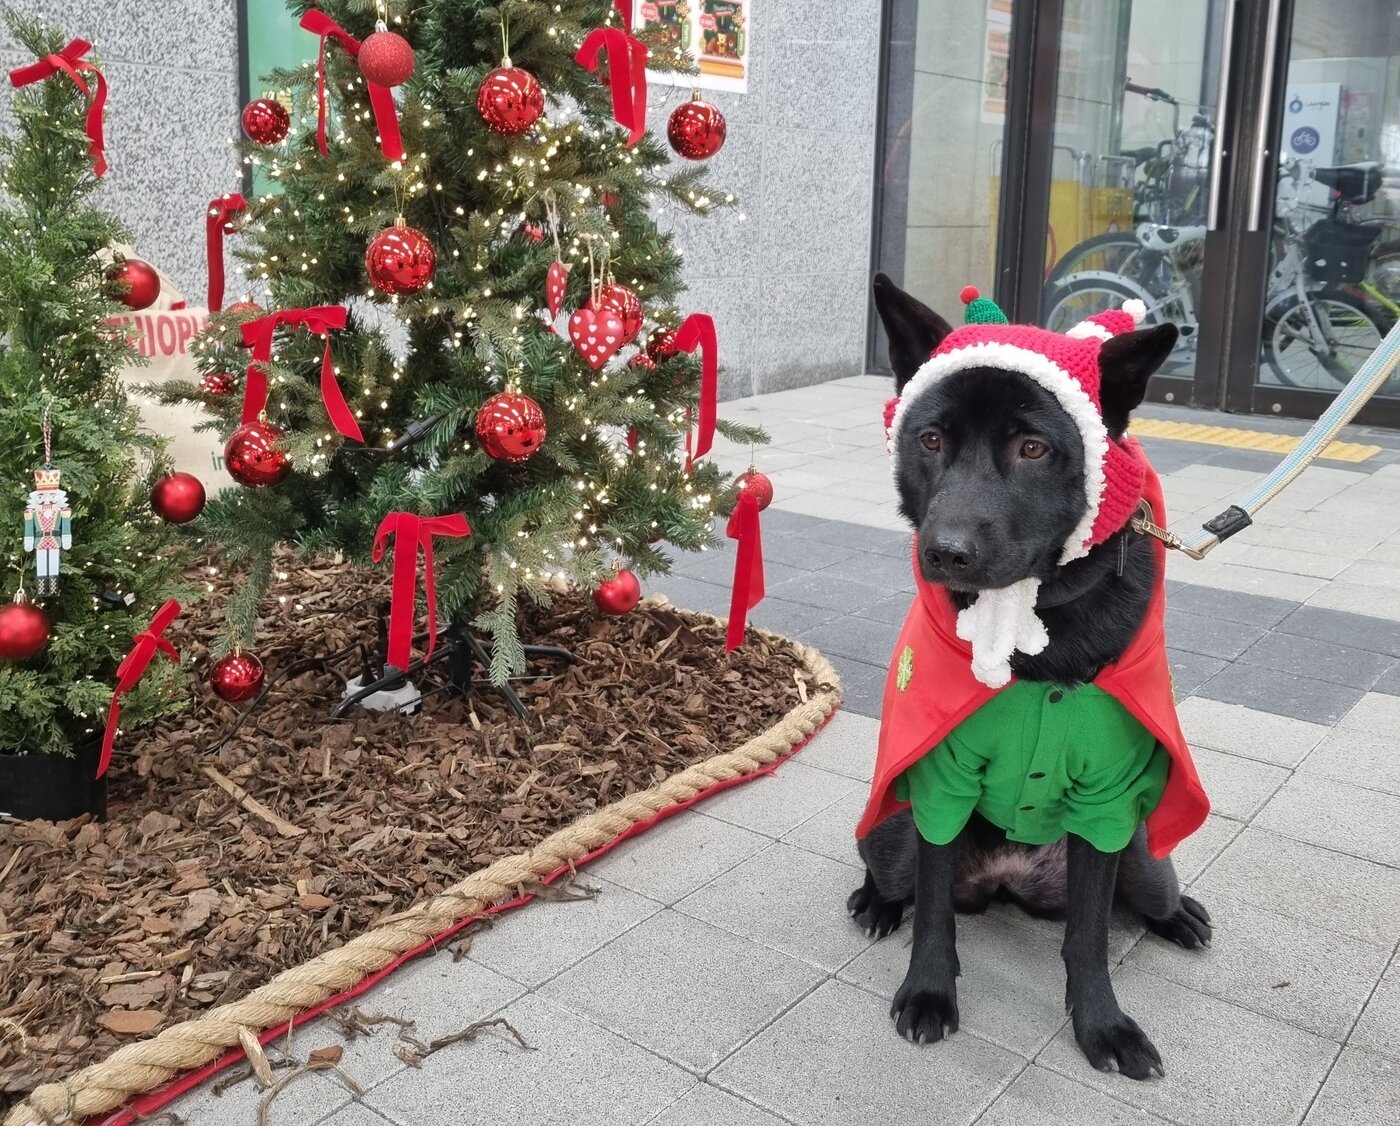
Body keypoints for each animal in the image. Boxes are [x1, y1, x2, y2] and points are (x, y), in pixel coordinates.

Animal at [851, 274, 1215, 1081]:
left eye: (1032, 448)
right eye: (930, 441)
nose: (945, 552)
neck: (1033, 627)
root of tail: (1007, 881)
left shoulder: (1109, 799)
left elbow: (1088, 938)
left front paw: (1102, 1025)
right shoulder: (939, 782)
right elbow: (935, 919)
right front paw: (929, 993)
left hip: (1141, 853)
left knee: (1146, 893)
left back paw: (1177, 915)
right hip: (893, 832)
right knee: (897, 877)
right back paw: (876, 904)